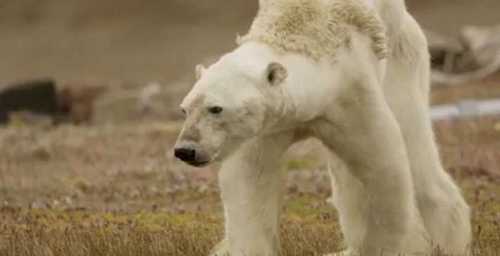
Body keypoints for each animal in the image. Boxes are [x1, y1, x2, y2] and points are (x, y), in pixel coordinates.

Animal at [174, 0, 470, 255]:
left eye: (216, 108)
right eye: (184, 109)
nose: (185, 150)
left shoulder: (353, 95)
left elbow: (383, 170)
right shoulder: (269, 124)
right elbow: (249, 179)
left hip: (403, 62)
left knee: (415, 148)